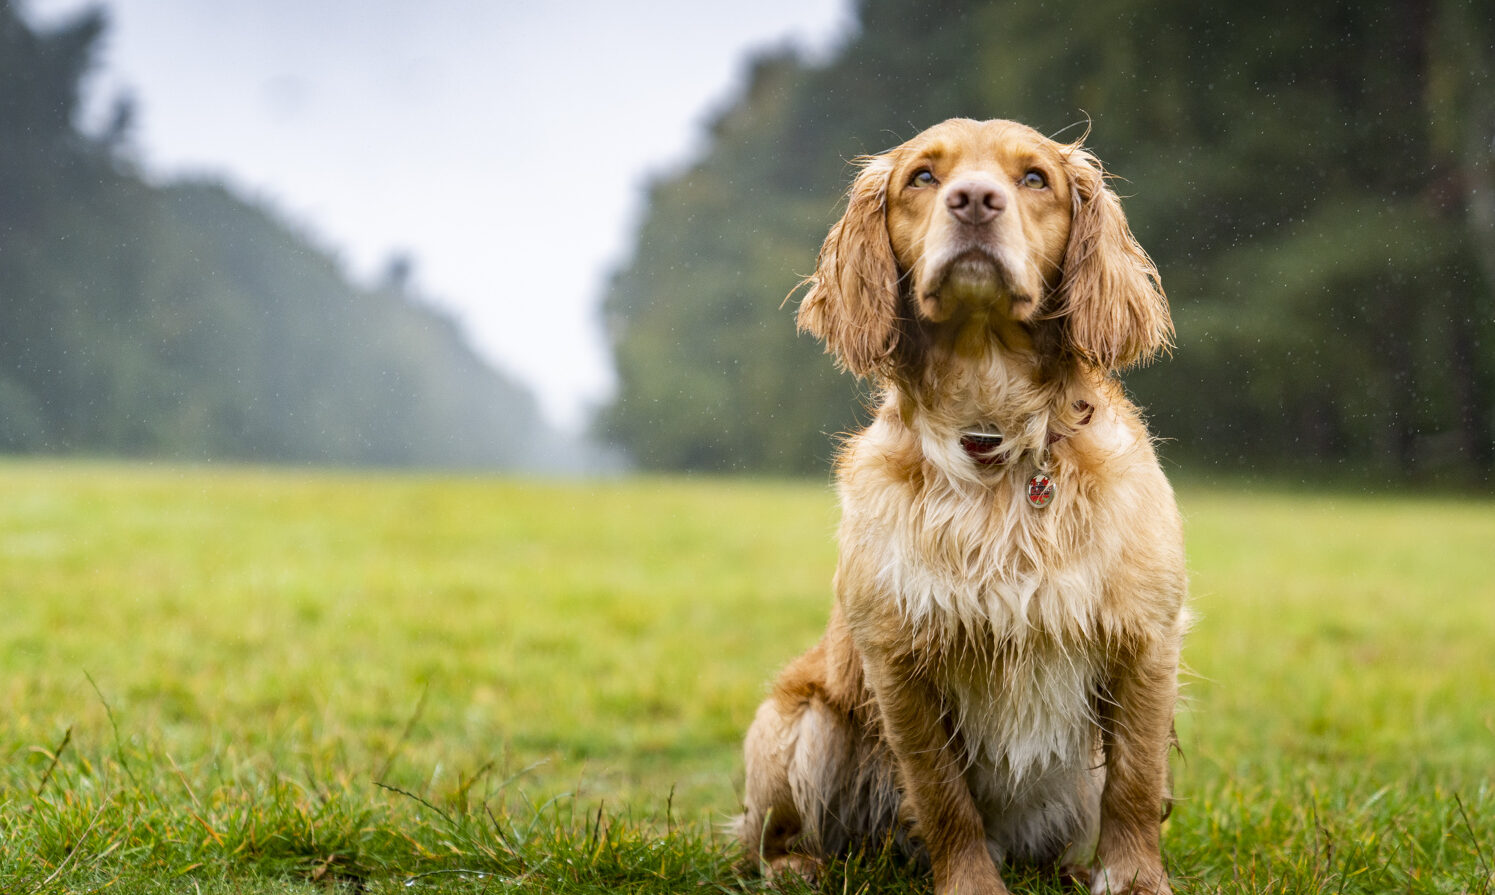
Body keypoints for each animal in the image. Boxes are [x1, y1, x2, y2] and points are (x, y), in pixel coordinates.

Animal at [735, 121, 1190, 895]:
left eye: (1034, 178)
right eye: (922, 176)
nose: (974, 200)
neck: (992, 429)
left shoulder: (1144, 638)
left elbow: (1134, 779)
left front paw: (1131, 878)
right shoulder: (899, 661)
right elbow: (944, 796)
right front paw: (972, 883)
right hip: (793, 722)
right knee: (773, 833)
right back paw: (801, 864)